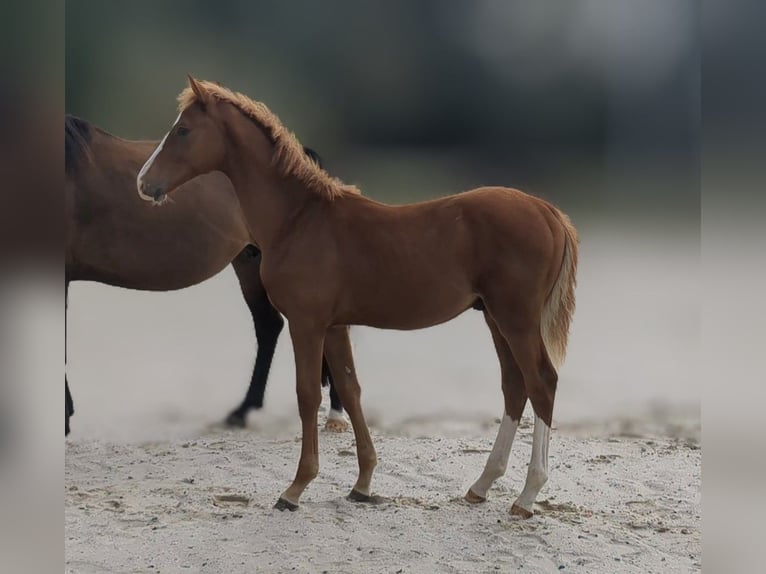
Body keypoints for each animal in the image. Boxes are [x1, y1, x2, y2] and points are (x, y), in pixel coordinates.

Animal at [138, 77, 580, 520]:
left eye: (183, 130)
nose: (144, 183)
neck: (299, 219)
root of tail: (547, 211)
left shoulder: (307, 323)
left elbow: (308, 395)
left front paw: (295, 488)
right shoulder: (335, 326)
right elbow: (350, 392)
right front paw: (363, 483)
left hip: (516, 319)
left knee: (541, 383)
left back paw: (527, 495)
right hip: (494, 317)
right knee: (514, 386)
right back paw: (482, 485)